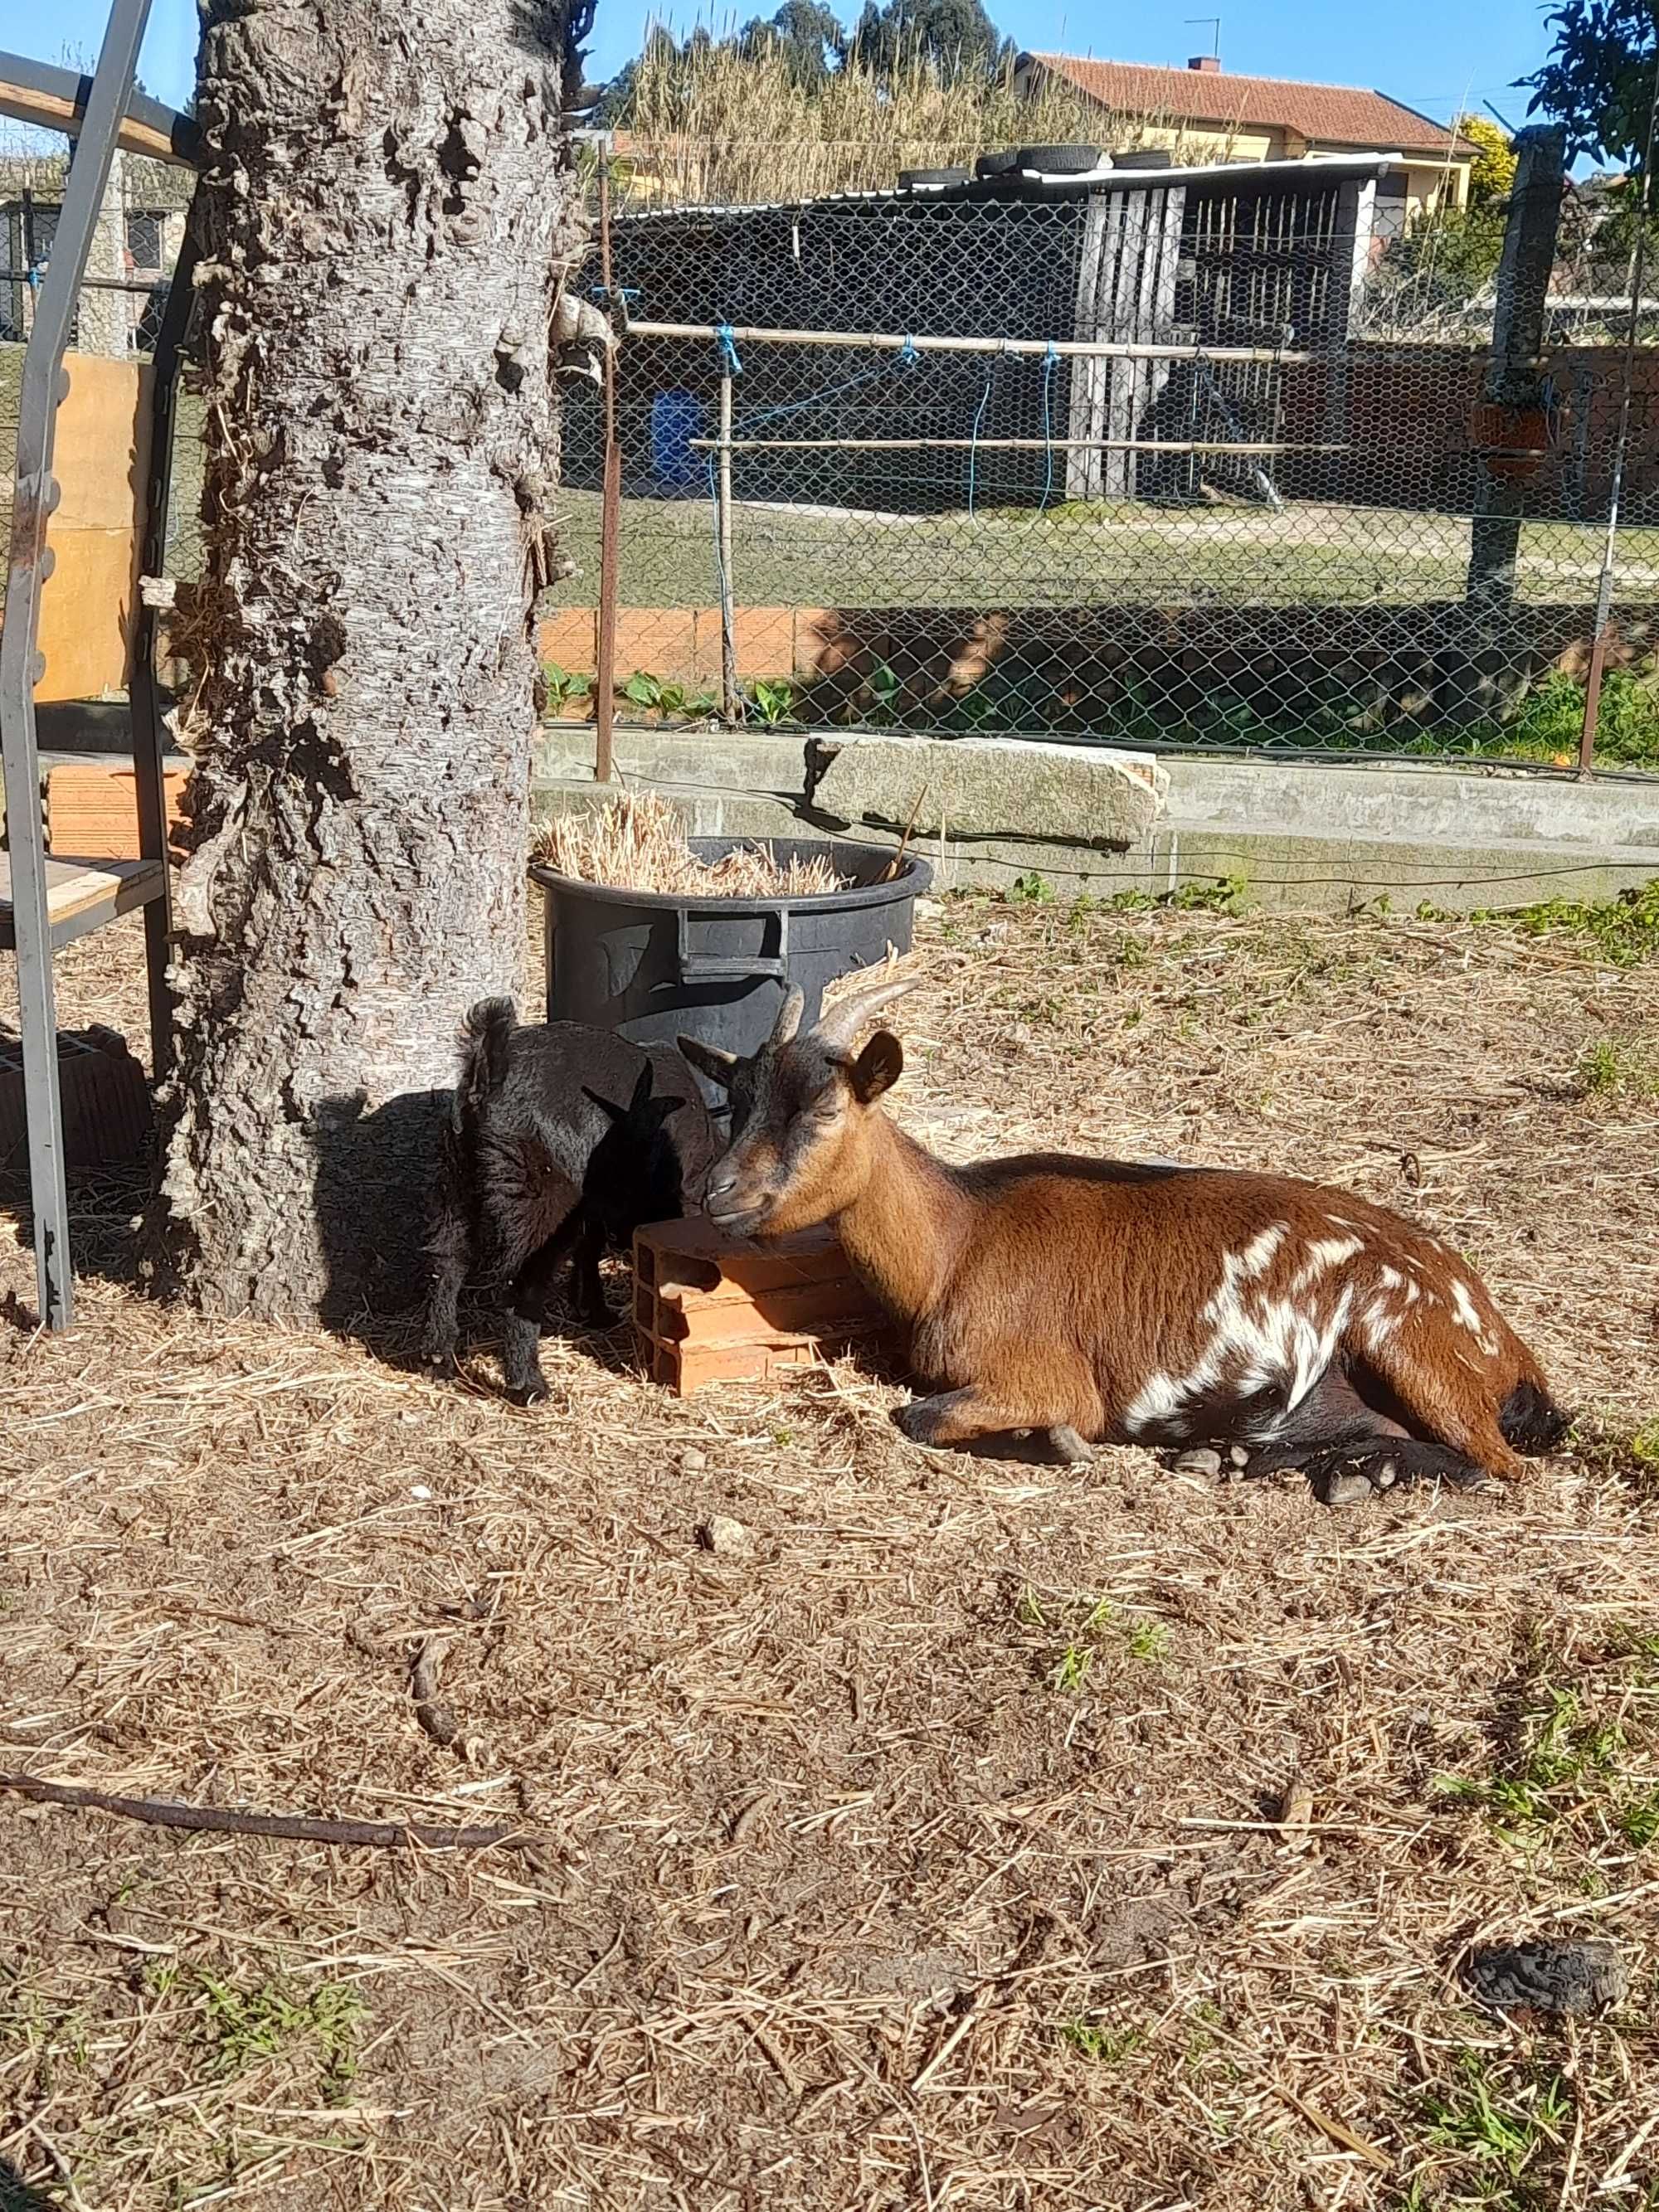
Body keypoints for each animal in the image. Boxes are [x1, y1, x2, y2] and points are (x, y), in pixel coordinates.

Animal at [422, 1004, 717, 1398]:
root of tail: (490, 1075)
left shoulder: (594, 1203)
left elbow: (589, 1249)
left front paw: (593, 1311)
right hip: (543, 1206)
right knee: (521, 1289)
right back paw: (528, 1384)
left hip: (456, 1188)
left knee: (447, 1265)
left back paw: (438, 1359)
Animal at [685, 982, 1574, 1504]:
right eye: (736, 1098)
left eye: (825, 1108)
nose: (715, 1189)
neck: (956, 1243)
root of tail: (1508, 1344)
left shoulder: (1042, 1375)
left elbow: (923, 1416)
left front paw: (1054, 1443)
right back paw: (1239, 1460)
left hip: (1408, 1344)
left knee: (1500, 1461)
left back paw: (1362, 1476)